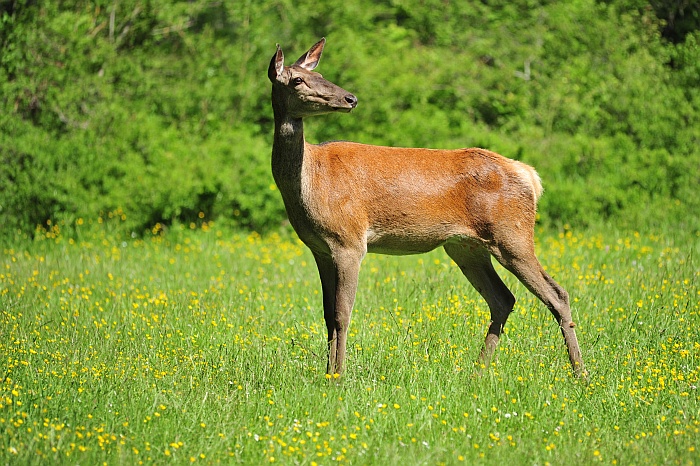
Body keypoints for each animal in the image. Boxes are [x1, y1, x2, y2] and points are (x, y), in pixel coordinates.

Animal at [268, 36, 584, 378]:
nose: (350, 98)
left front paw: (337, 377)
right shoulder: (320, 249)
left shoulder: (349, 241)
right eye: (298, 79)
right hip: (466, 246)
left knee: (557, 294)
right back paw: (478, 371)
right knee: (503, 299)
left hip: (512, 234)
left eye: (319, 74)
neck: (311, 183)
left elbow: (342, 314)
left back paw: (580, 372)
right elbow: (327, 316)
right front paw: (328, 374)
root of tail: (529, 175)